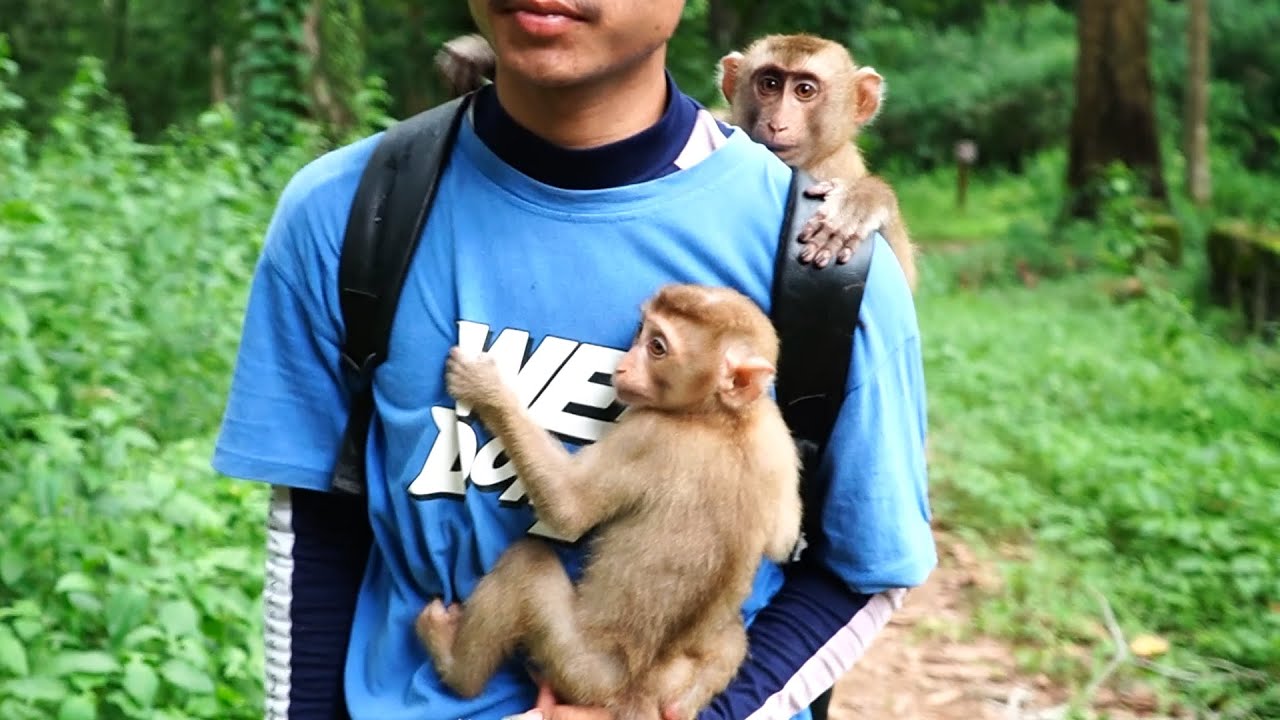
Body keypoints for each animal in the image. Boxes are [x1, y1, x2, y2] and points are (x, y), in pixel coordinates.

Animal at [416, 284, 803, 720]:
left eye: (657, 347)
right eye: (641, 331)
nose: (622, 367)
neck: (720, 416)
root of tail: (635, 690)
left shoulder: (648, 433)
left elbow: (568, 507)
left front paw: (486, 388)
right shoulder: (774, 430)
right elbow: (784, 539)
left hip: (582, 669)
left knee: (528, 565)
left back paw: (454, 667)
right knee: (728, 637)